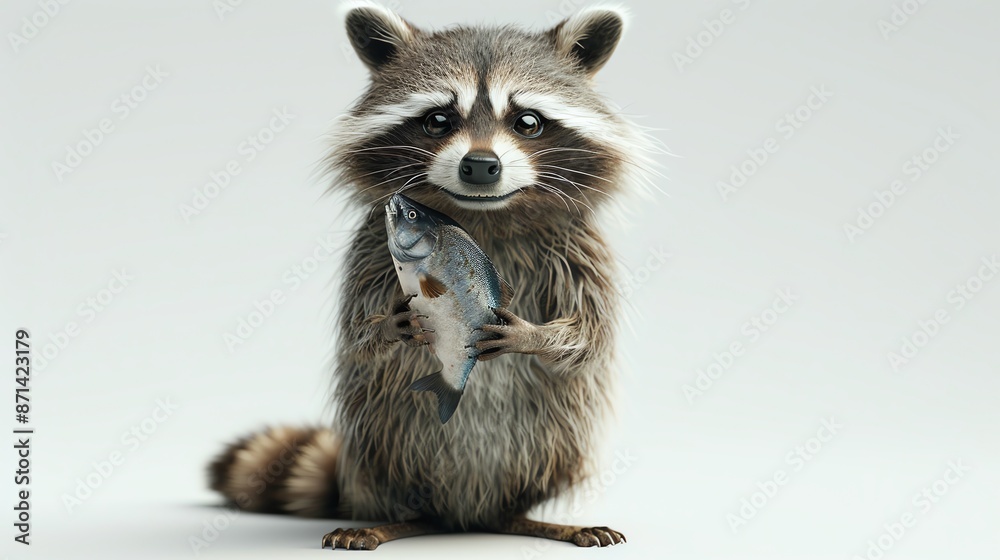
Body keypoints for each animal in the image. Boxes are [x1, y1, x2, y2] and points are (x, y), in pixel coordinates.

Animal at [209, 1, 659, 550]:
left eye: (527, 121)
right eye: (439, 120)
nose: (481, 165)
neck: (482, 218)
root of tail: (465, 514)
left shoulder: (578, 248)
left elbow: (589, 333)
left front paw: (535, 336)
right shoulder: (370, 251)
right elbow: (358, 339)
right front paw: (388, 326)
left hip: (555, 445)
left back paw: (530, 518)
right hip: (381, 446)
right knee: (401, 473)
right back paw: (400, 520)